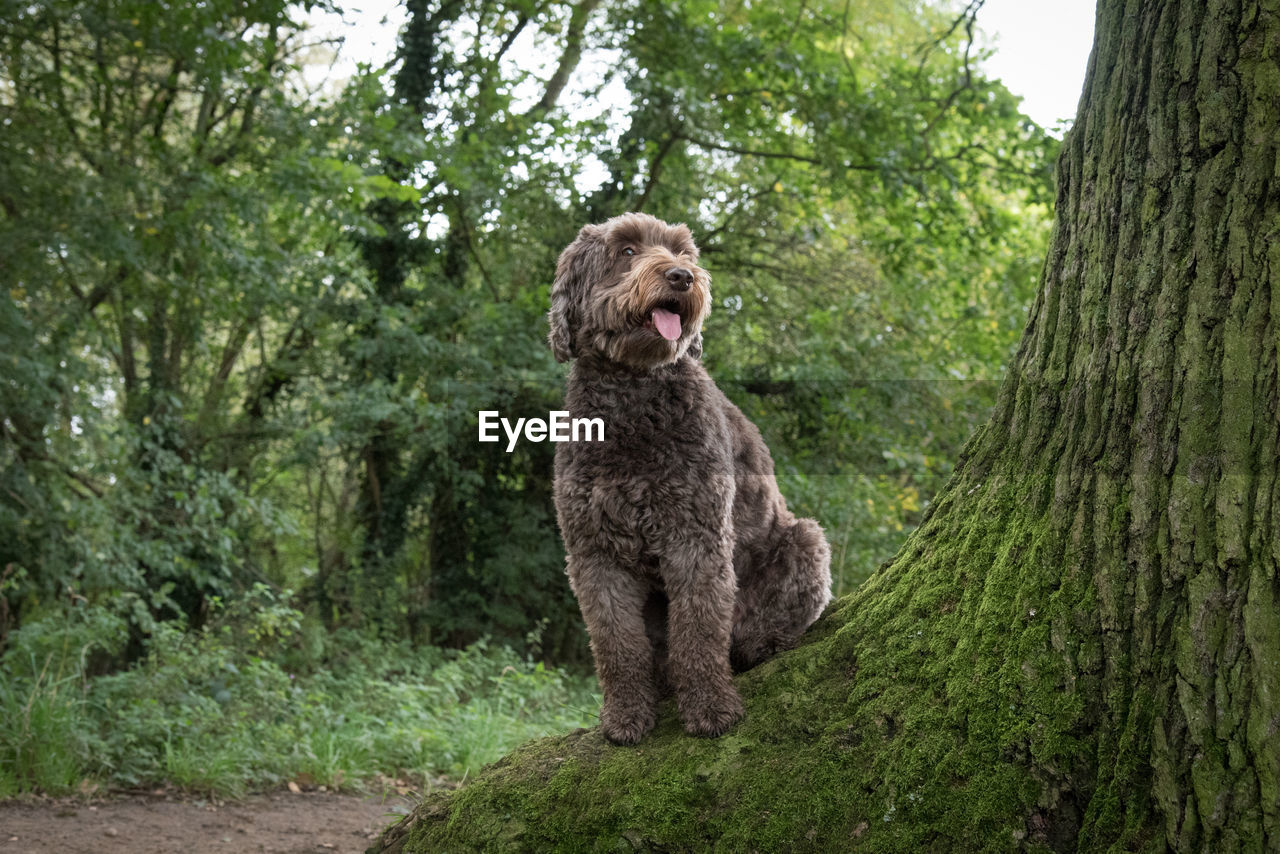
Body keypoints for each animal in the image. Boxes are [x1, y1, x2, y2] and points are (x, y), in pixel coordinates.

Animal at [547, 209, 829, 742]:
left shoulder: (695, 537)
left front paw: (711, 709)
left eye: (682, 251)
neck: (632, 400)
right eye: (627, 250)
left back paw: (760, 644)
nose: (682, 277)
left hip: (804, 538)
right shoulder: (595, 552)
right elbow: (616, 643)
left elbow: (698, 631)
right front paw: (625, 716)